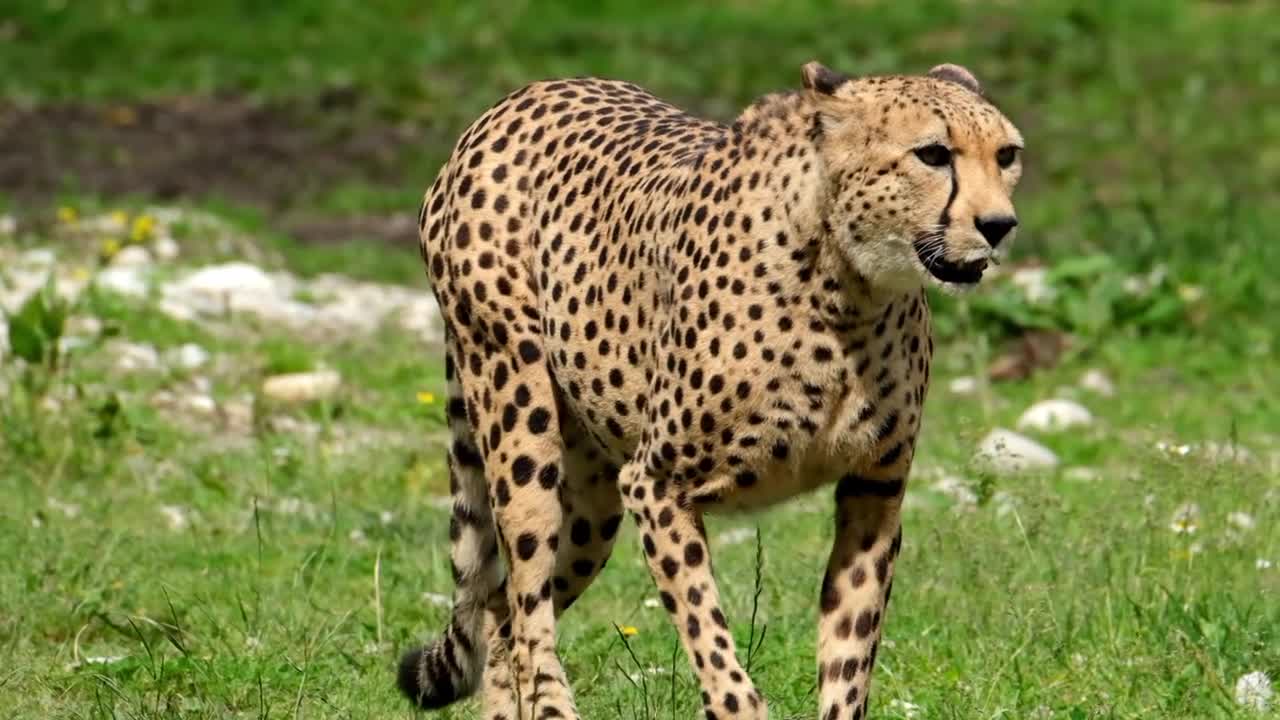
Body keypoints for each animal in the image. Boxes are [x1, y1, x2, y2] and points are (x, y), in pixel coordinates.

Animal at [399, 63, 1018, 717]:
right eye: (933, 154)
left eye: (1006, 155)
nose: (1000, 226)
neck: (848, 290)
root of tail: (525, 94)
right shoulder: (655, 484)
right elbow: (710, 639)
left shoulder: (873, 491)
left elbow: (848, 659)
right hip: (519, 422)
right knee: (526, 604)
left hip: (593, 504)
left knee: (501, 609)